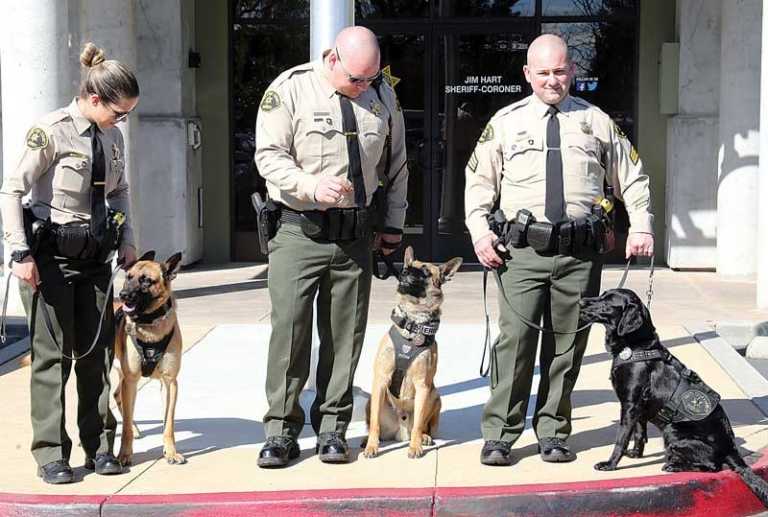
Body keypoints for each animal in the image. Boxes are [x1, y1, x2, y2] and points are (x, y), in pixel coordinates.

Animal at [112, 249, 186, 464]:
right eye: (128, 277)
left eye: (146, 280)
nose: (123, 295)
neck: (150, 323)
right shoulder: (131, 381)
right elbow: (125, 427)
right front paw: (124, 454)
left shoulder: (170, 383)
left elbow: (168, 423)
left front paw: (170, 452)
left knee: (117, 396)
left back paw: (136, 429)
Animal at [364, 248, 464, 458]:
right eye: (408, 266)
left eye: (426, 272)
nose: (404, 271)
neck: (413, 322)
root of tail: (400, 432)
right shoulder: (381, 379)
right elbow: (375, 423)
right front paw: (371, 446)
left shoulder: (423, 386)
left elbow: (418, 422)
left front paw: (415, 446)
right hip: (373, 397)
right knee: (374, 423)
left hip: (435, 396)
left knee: (424, 425)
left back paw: (424, 438)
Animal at [584, 288, 768, 506]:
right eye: (601, 295)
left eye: (607, 301)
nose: (581, 301)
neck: (636, 347)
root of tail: (731, 449)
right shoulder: (639, 408)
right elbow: (638, 433)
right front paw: (636, 454)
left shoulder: (630, 405)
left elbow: (621, 438)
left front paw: (610, 464)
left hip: (672, 431)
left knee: (713, 466)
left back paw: (673, 466)